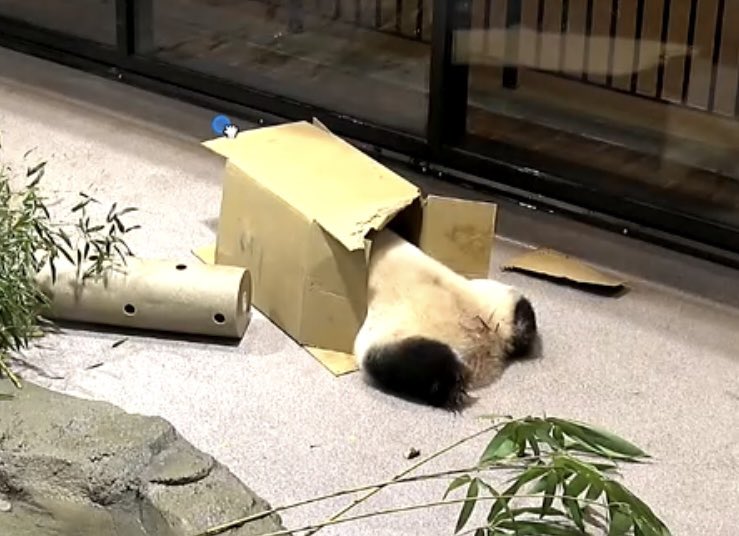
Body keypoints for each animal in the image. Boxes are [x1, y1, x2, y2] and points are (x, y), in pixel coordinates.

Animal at [353, 227, 538, 411]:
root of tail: (484, 346)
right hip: (495, 298)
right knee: (522, 311)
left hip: (393, 330)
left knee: (407, 363)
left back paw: (453, 386)